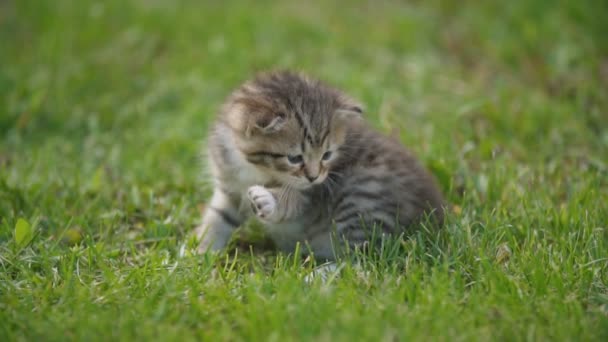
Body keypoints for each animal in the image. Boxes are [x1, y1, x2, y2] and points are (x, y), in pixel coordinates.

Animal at [196, 71, 446, 260]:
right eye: (295, 158)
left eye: (327, 155)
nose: (314, 176)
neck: (254, 168)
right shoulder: (228, 184)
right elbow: (217, 217)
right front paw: (200, 253)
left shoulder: (313, 194)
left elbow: (293, 202)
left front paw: (270, 201)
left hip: (363, 195)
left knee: (360, 259)